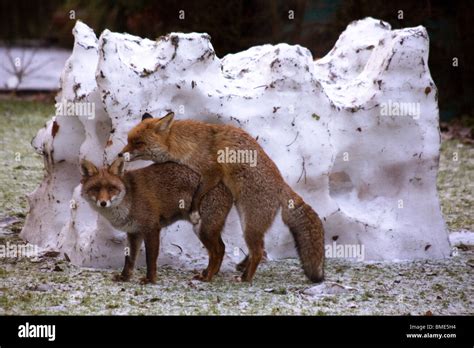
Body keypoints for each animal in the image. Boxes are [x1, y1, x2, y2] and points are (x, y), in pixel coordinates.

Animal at [81, 158, 233, 282]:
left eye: (111, 188)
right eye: (95, 189)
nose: (103, 203)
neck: (129, 199)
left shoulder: (152, 228)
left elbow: (150, 258)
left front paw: (150, 279)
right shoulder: (133, 233)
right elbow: (129, 259)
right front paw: (124, 277)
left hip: (202, 230)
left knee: (216, 252)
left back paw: (207, 277)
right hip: (209, 230)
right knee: (222, 247)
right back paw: (211, 273)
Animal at [120, 111, 324, 282]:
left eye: (138, 143)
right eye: (129, 140)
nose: (120, 154)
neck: (187, 143)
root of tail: (282, 185)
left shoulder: (212, 172)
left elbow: (198, 193)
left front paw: (193, 210)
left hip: (249, 225)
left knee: (258, 252)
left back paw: (245, 278)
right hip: (249, 224)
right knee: (260, 249)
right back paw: (240, 269)